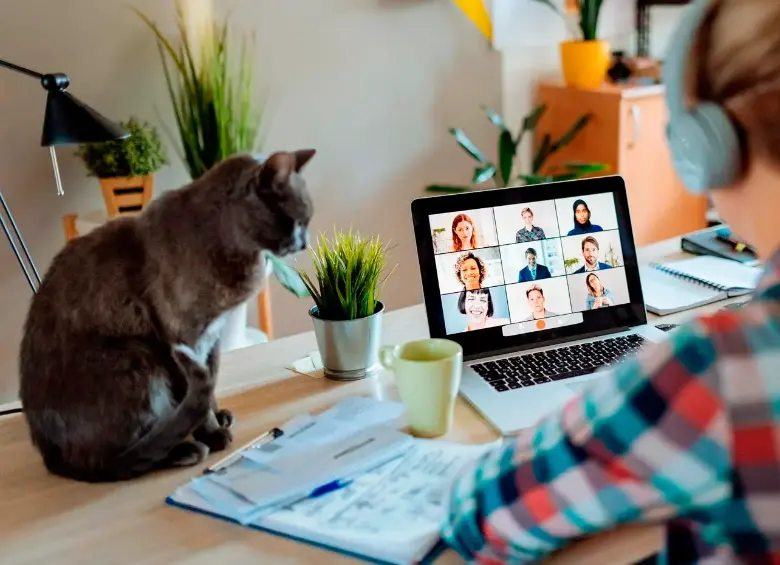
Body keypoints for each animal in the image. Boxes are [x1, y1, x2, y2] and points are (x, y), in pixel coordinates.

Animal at [16, 147, 314, 480]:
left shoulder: (212, 338)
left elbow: (210, 382)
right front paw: (213, 433)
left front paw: (218, 415)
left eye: (306, 222)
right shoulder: (183, 338)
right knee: (112, 460)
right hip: (138, 356)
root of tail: (51, 458)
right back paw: (184, 450)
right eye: (293, 221)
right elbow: (198, 391)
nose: (305, 242)